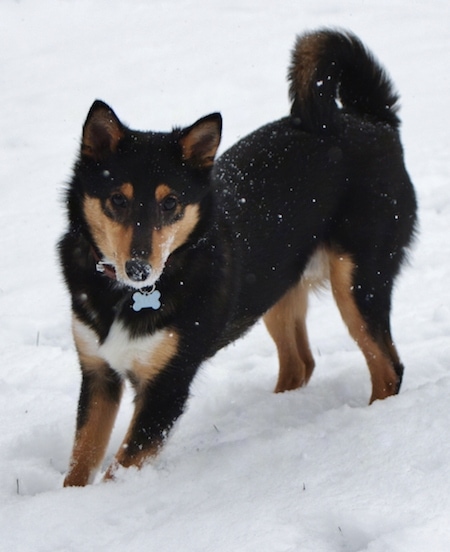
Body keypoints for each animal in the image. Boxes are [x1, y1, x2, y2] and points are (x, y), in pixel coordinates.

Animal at [59, 31, 418, 488]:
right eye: (117, 200)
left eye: (170, 203)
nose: (139, 268)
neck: (125, 295)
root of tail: (372, 120)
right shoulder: (98, 373)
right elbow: (80, 460)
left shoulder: (167, 386)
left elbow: (119, 467)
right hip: (276, 288)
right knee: (300, 364)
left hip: (359, 282)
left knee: (388, 367)